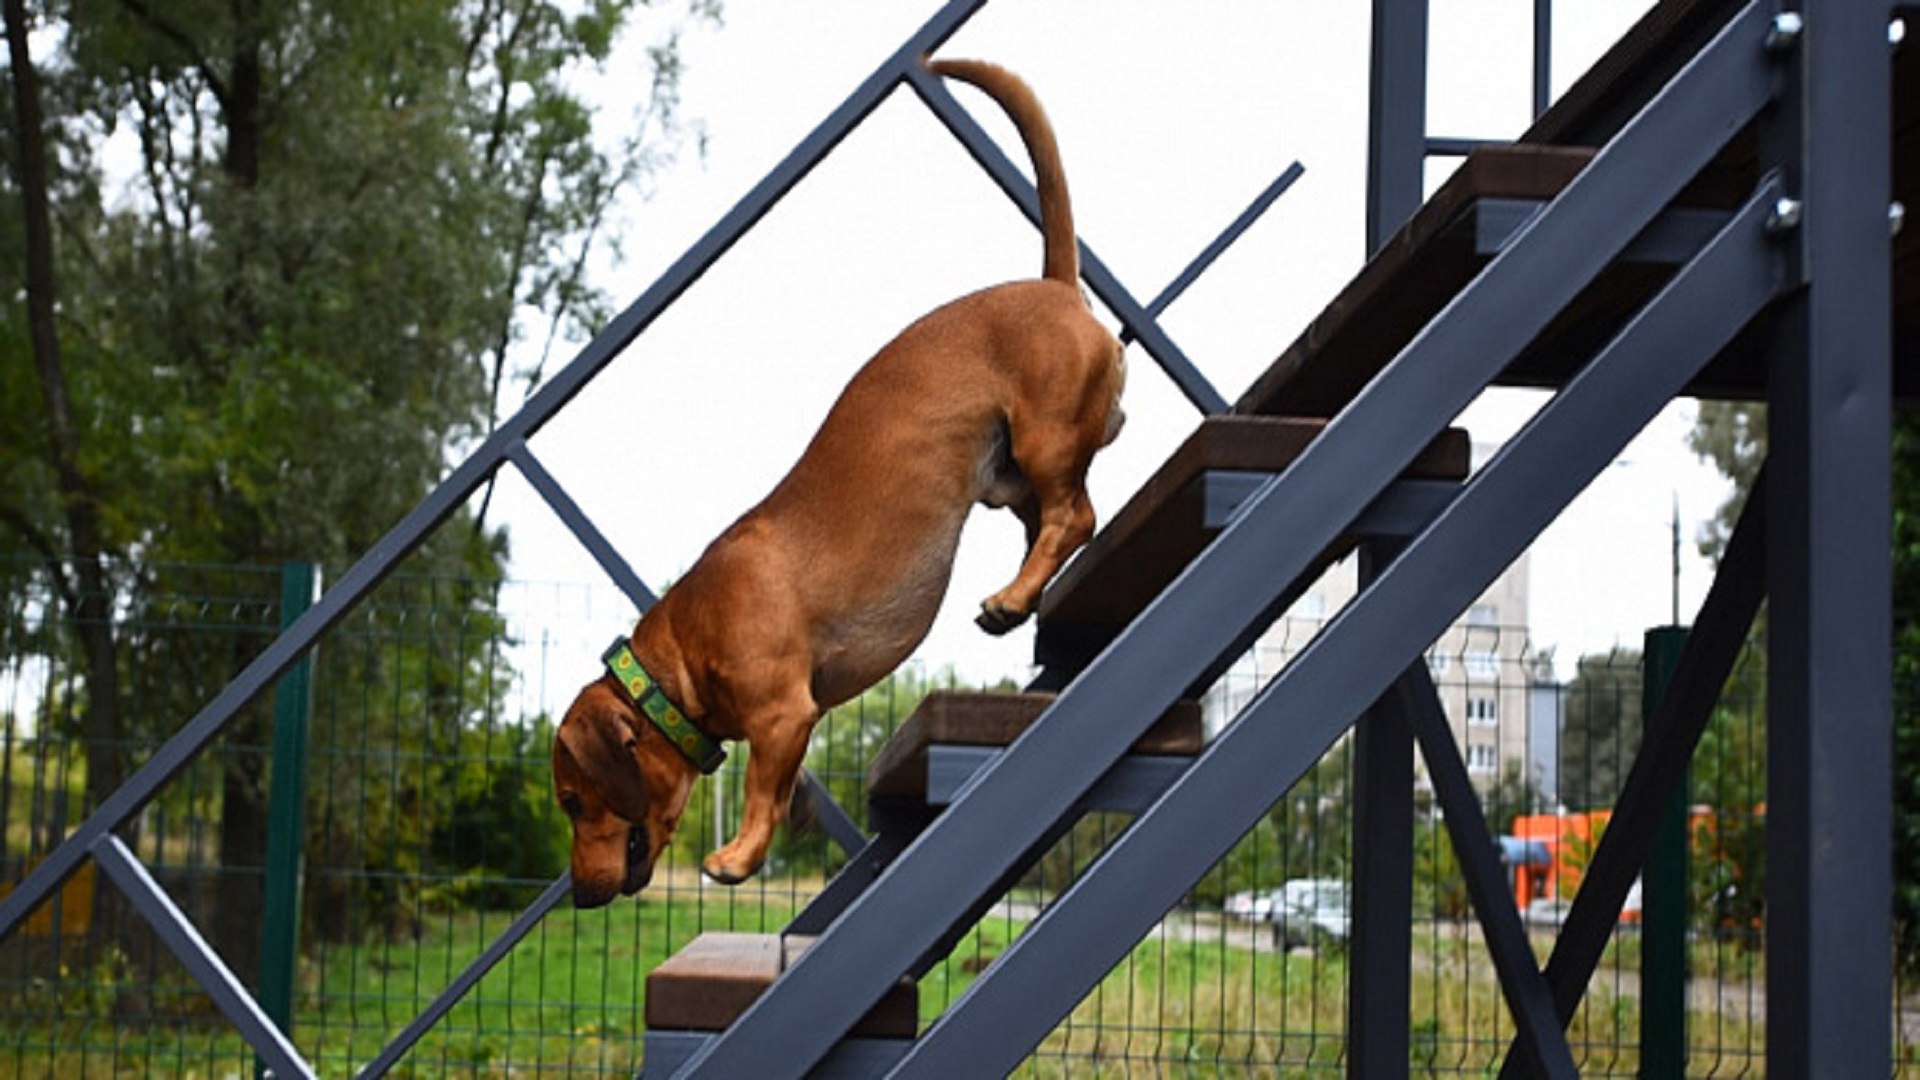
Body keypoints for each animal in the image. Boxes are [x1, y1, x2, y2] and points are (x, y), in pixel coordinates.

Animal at [552, 56, 1121, 899]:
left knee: (1075, 516)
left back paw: (1010, 599)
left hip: (1045, 440)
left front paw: (737, 857)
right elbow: (786, 785)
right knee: (1057, 521)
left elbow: (762, 786)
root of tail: (1056, 286)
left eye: (570, 797)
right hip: (1009, 474)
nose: (583, 894)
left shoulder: (784, 713)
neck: (685, 646)